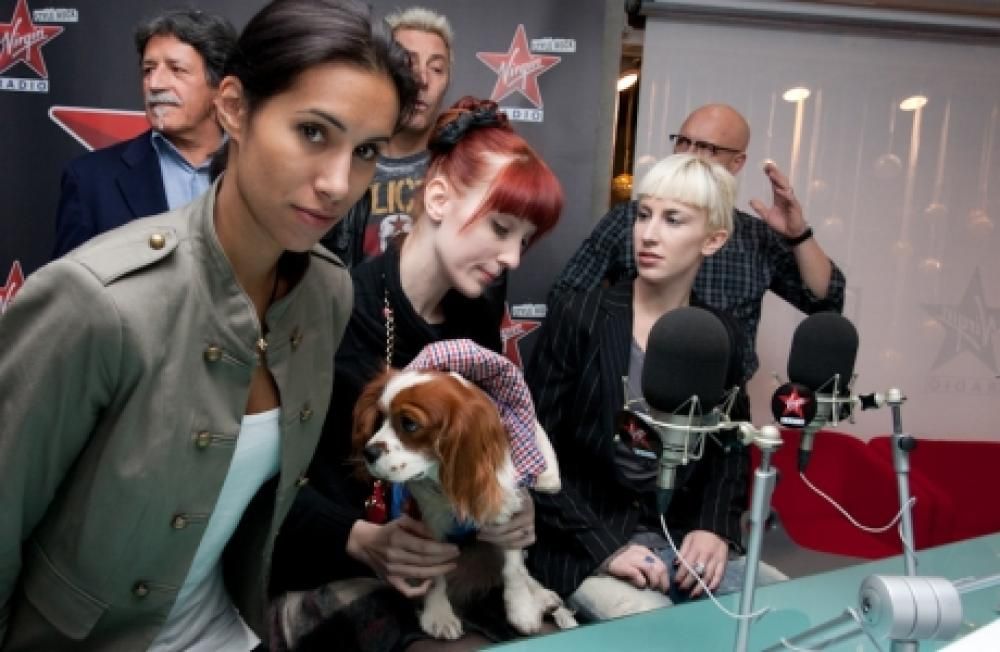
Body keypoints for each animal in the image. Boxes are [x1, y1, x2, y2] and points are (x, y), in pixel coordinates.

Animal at [353, 367, 577, 640]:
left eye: (409, 424)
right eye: (380, 418)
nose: (368, 453)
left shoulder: (506, 514)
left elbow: (513, 567)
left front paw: (522, 609)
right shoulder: (427, 526)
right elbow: (434, 573)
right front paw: (439, 614)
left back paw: (541, 595)